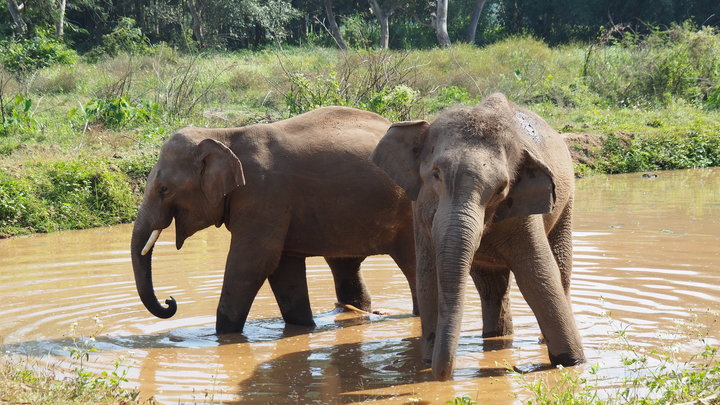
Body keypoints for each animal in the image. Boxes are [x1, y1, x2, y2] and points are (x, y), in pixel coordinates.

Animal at [132, 105, 420, 334]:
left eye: (164, 189)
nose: (170, 301)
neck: (222, 134)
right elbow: (283, 266)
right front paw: (303, 328)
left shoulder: (264, 194)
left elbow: (253, 261)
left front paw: (222, 337)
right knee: (344, 265)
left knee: (412, 262)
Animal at [372, 93, 584, 380]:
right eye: (436, 174)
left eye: (501, 189)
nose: (444, 375)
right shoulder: (419, 212)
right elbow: (428, 276)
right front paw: (426, 361)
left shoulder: (523, 213)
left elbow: (538, 276)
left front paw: (572, 362)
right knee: (490, 287)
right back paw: (495, 337)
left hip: (567, 202)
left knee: (559, 271)